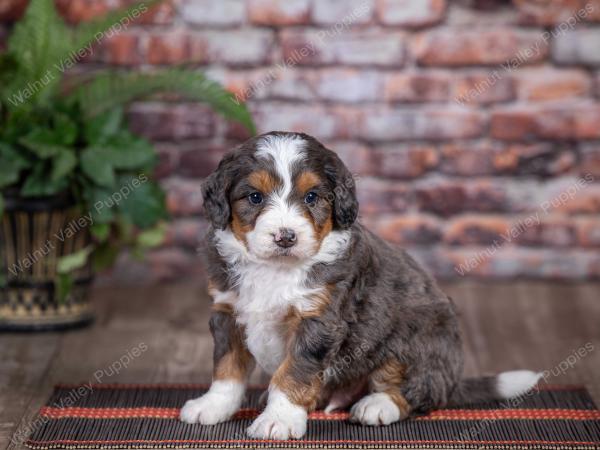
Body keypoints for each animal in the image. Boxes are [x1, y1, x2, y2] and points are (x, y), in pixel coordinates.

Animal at [179, 130, 544, 440]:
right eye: (254, 197)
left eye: (312, 197)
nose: (285, 236)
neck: (277, 269)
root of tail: (454, 378)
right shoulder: (227, 310)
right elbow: (227, 367)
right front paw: (213, 405)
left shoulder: (319, 320)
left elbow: (294, 371)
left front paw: (278, 419)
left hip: (417, 336)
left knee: (417, 388)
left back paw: (377, 404)